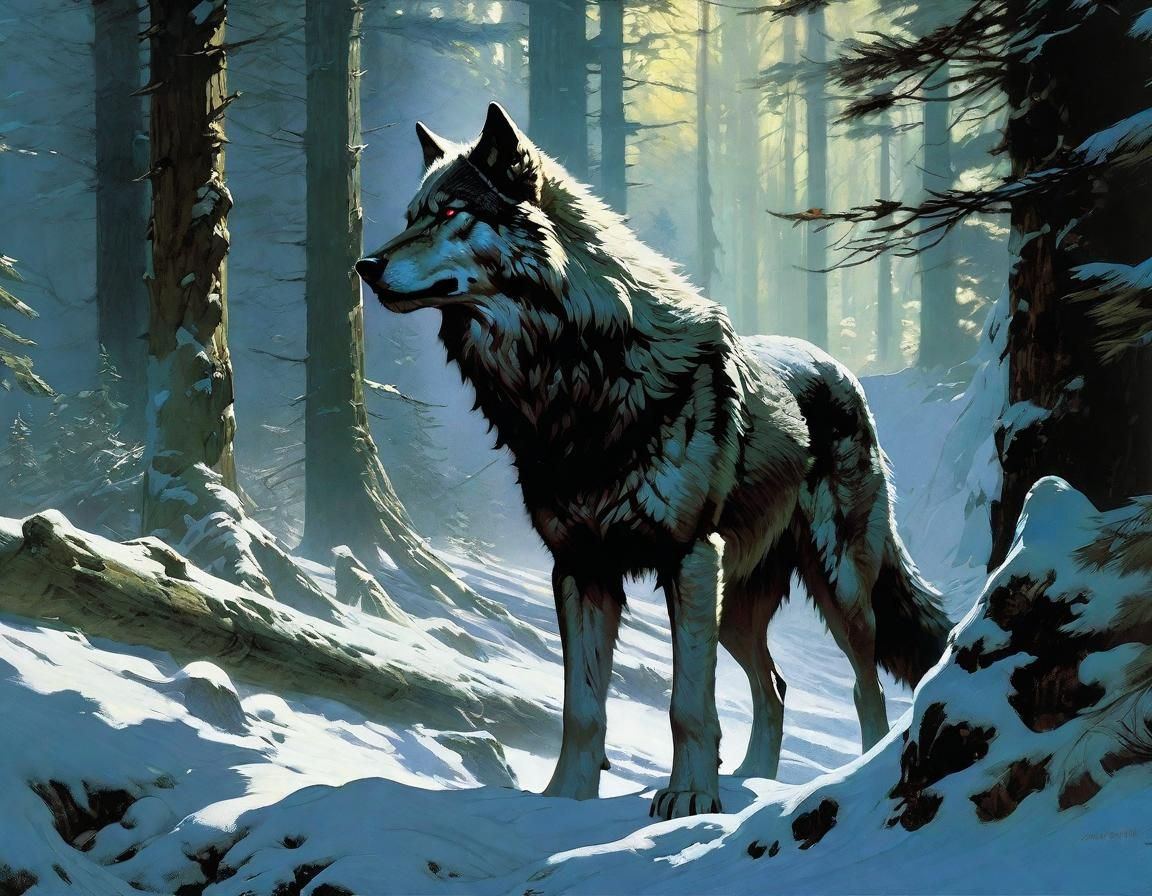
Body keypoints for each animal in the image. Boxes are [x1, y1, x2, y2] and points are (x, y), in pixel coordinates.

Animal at [357, 103, 951, 820]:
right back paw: (752, 781)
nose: (364, 264)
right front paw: (566, 799)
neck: (574, 381)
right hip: (735, 605)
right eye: (411, 214)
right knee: (774, 686)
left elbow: (687, 704)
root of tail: (841, 371)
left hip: (835, 587)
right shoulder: (579, 570)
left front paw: (690, 797)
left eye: (449, 214)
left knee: (867, 689)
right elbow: (583, 709)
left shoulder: (689, 557)